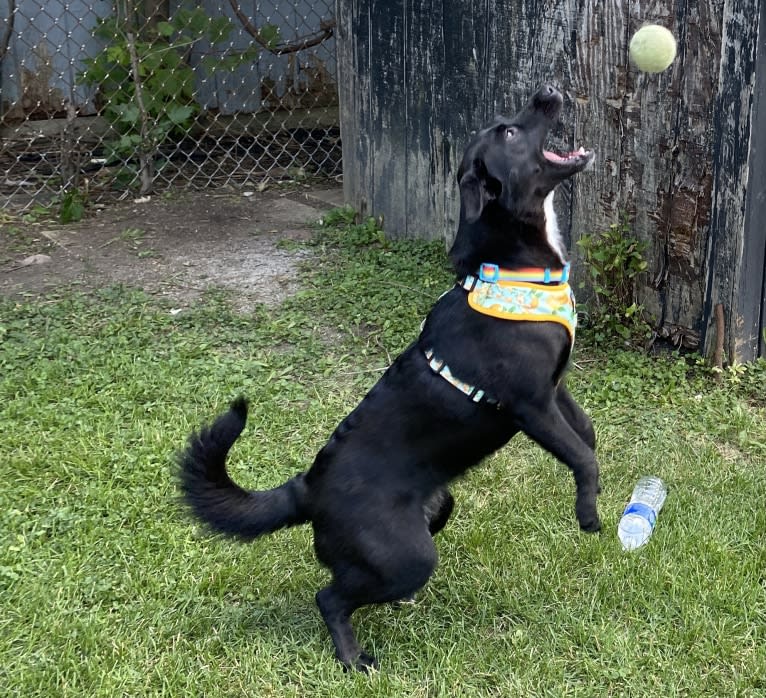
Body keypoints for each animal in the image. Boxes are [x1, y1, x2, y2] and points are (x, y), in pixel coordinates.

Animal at [178, 84, 600, 672]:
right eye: (511, 132)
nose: (547, 91)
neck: (511, 265)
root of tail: (308, 489)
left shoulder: (557, 389)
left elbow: (586, 433)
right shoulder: (530, 405)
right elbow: (580, 455)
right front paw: (590, 512)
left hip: (436, 511)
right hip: (408, 553)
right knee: (330, 596)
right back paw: (354, 657)